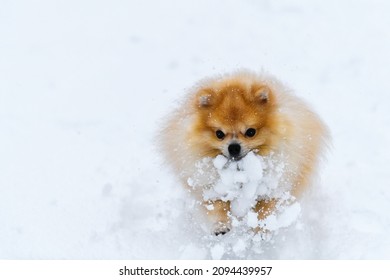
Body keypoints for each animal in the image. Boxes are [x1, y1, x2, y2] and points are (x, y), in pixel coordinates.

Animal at [160, 70, 328, 234]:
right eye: (219, 134)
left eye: (250, 132)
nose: (233, 147)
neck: (240, 171)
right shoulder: (208, 187)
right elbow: (217, 206)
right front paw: (221, 225)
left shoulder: (275, 186)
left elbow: (265, 208)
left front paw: (260, 229)